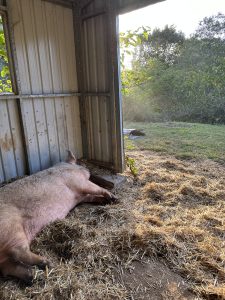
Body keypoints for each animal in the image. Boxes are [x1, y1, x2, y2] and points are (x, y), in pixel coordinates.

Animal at [0, 151, 116, 282]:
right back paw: (47, 263)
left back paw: (32, 276)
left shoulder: (81, 197)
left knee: (6, 267)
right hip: (11, 227)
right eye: (80, 164)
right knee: (17, 252)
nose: (87, 169)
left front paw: (109, 201)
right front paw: (113, 197)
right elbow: (95, 188)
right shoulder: (78, 182)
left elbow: (92, 196)